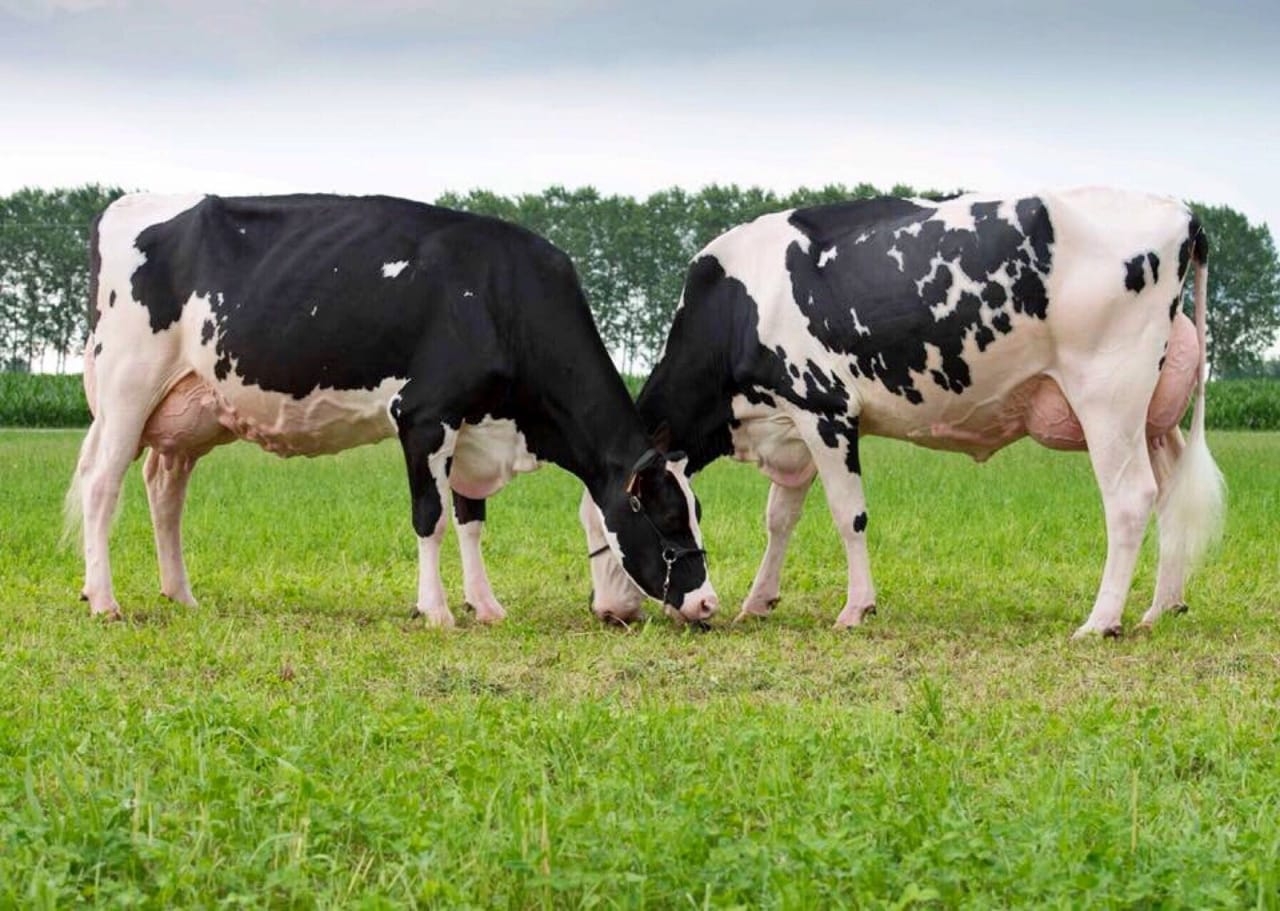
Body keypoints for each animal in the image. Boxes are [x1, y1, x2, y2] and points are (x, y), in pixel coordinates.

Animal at [67, 191, 721, 626]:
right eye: (667, 519)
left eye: (696, 511)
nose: (707, 601)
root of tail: (124, 203)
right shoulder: (424, 416)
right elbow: (430, 517)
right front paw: (436, 611)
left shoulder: (475, 426)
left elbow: (471, 519)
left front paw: (486, 605)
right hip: (126, 391)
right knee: (102, 487)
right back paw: (104, 600)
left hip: (188, 413)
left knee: (165, 491)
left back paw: (180, 593)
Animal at [586, 188, 1223, 637]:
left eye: (613, 523)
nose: (610, 611)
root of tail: (1179, 212)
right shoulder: (790, 426)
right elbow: (779, 518)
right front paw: (758, 601)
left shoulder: (826, 410)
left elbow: (849, 516)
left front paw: (855, 608)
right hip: (1154, 416)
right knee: (1170, 495)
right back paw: (1160, 609)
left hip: (1108, 397)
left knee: (1130, 499)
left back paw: (1101, 621)